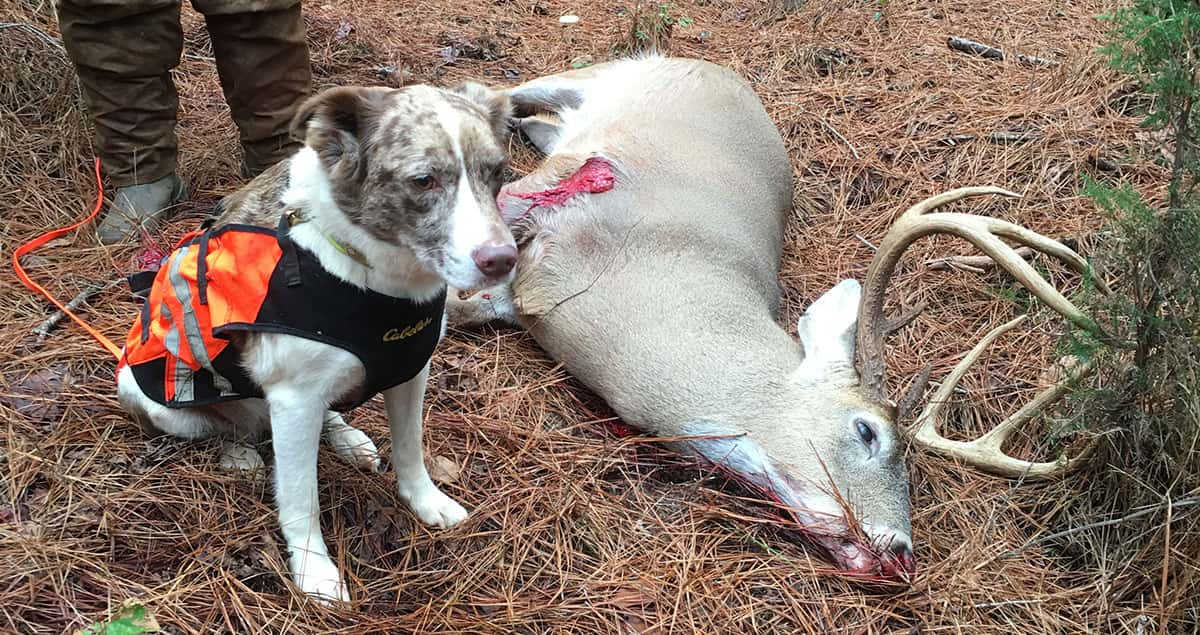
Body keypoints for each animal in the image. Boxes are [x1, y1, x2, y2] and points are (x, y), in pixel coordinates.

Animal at [451, 57, 1104, 576]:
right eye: (867, 431)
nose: (900, 551)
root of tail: (719, 68)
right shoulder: (549, 201)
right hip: (601, 79)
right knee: (500, 89)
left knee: (531, 118)